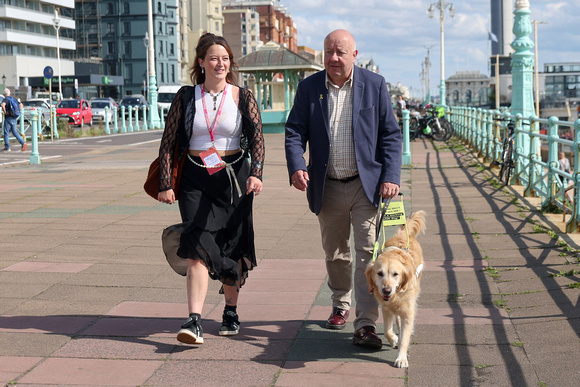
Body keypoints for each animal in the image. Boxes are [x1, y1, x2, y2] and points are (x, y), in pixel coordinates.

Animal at [368, 211, 426, 368]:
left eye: (396, 274)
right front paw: (393, 339)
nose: (386, 291)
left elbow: (405, 338)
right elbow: (387, 330)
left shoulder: (408, 311)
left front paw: (401, 358)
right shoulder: (386, 308)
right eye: (379, 273)